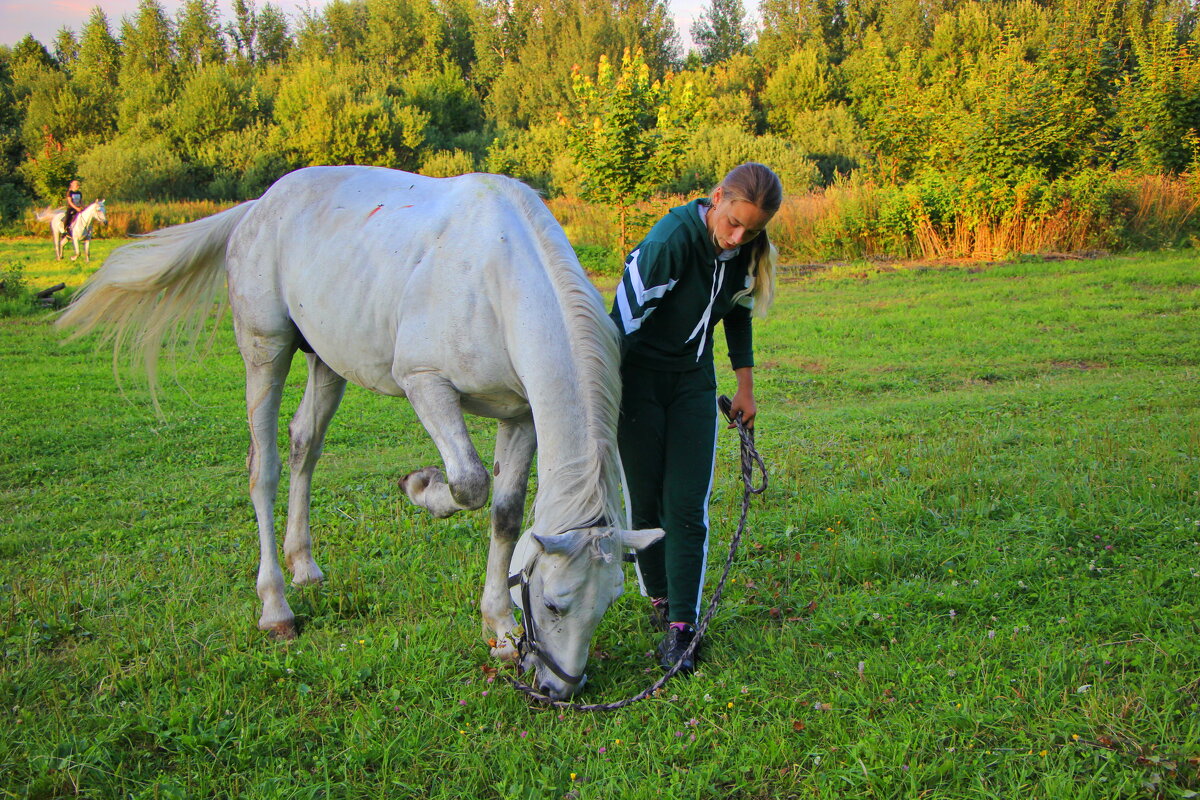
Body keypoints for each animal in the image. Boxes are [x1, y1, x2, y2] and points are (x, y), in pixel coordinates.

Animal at [60, 167, 667, 700]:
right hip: (265, 351)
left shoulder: (518, 416)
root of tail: (260, 205)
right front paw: (421, 487)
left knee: (304, 445)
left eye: (606, 605)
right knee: (265, 469)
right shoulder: (426, 385)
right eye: (555, 604)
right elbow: (469, 484)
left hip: (327, 361)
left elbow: (505, 514)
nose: (558, 690)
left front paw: (497, 627)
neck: (499, 281)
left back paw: (304, 565)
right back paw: (276, 606)